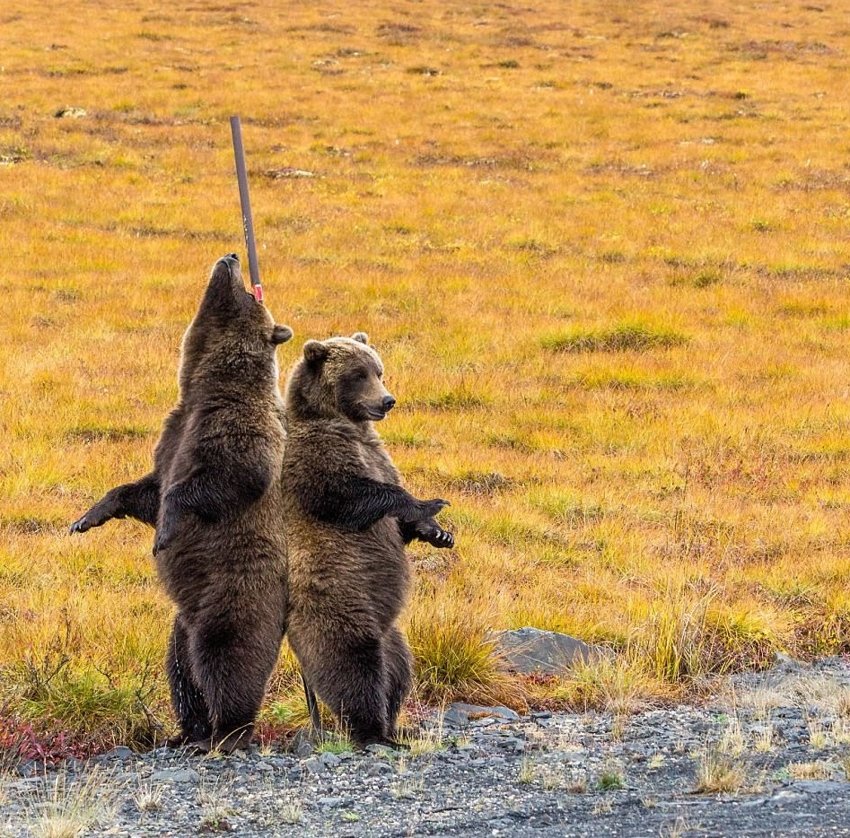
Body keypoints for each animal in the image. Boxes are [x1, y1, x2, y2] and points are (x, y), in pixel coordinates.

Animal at [68, 254, 292, 756]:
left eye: (247, 291)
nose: (231, 256)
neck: (204, 385)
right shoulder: (172, 433)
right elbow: (144, 490)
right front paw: (87, 517)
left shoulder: (235, 425)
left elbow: (230, 474)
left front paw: (165, 531)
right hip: (181, 627)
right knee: (181, 671)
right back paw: (186, 732)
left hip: (232, 598)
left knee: (228, 663)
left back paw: (227, 732)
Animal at [278, 334, 454, 748]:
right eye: (357, 374)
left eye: (379, 370)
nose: (387, 400)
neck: (350, 427)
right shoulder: (316, 460)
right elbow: (351, 496)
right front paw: (428, 503)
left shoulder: (377, 453)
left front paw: (437, 532)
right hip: (341, 606)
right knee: (353, 666)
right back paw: (373, 731)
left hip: (391, 631)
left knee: (398, 668)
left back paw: (396, 724)